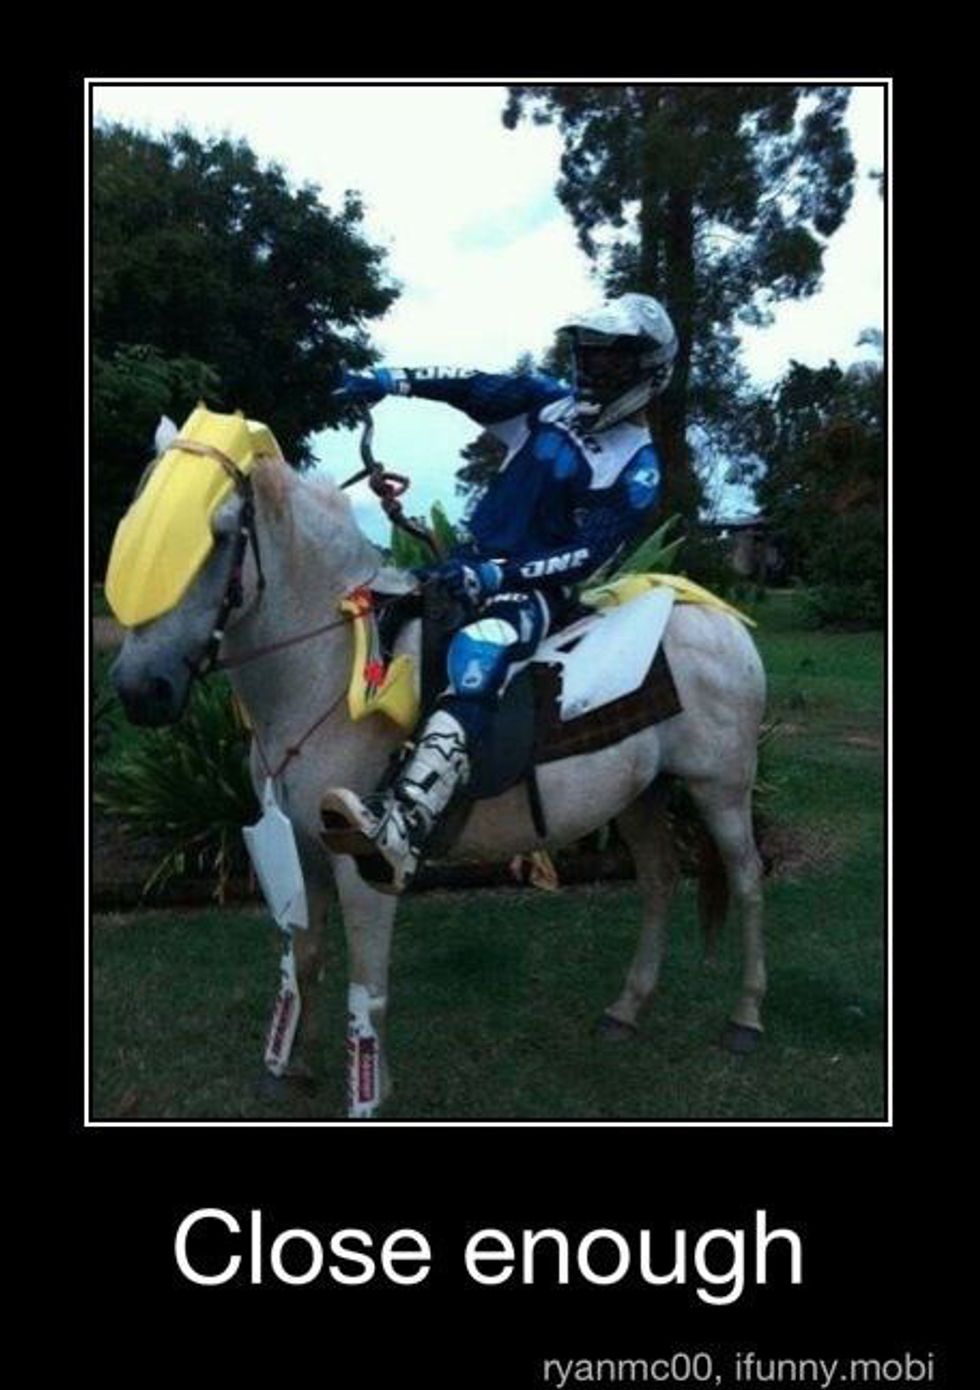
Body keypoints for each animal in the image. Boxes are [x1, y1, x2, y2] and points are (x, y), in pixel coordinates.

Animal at [107, 430, 767, 1119]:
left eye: (220, 533)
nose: (140, 690)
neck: (327, 668)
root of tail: (716, 616)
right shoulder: (302, 849)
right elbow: (304, 959)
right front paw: (285, 1067)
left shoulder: (361, 868)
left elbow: (367, 983)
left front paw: (368, 1093)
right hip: (641, 794)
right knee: (661, 879)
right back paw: (627, 1009)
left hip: (722, 789)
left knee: (748, 880)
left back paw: (746, 1018)